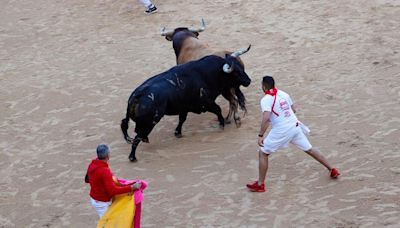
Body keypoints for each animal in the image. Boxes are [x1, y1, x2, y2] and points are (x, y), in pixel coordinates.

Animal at [120, 47, 250, 161]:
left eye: (241, 67)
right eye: (236, 72)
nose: (249, 81)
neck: (211, 72)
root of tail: (136, 95)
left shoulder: (184, 107)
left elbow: (182, 119)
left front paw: (178, 132)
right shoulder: (206, 102)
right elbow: (218, 109)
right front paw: (221, 124)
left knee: (137, 132)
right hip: (150, 122)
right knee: (137, 137)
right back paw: (132, 157)